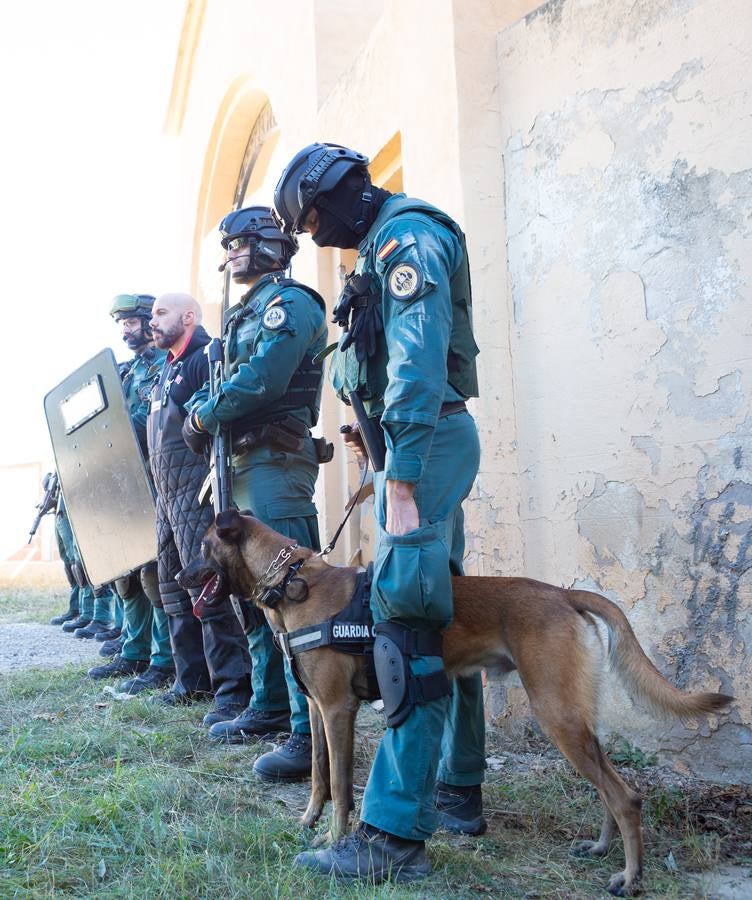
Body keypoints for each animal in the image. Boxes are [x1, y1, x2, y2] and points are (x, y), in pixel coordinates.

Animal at [179, 510, 732, 896]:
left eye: (202, 547)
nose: (179, 579)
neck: (296, 585)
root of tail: (561, 593)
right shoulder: (316, 710)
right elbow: (318, 774)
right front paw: (307, 821)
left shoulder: (338, 711)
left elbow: (340, 785)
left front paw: (334, 844)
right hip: (574, 720)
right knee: (611, 789)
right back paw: (600, 848)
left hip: (556, 716)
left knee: (626, 796)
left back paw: (629, 878)